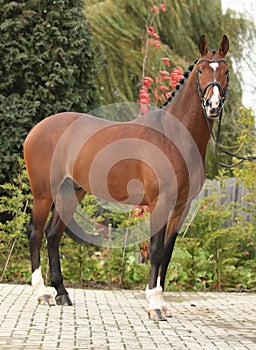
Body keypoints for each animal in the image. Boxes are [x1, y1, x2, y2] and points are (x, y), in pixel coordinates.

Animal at [23, 34, 229, 320]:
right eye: (201, 71)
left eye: (225, 72)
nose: (213, 106)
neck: (173, 136)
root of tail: (39, 128)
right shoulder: (160, 202)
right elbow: (155, 251)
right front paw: (154, 305)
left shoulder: (181, 206)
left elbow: (167, 252)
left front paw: (161, 301)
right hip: (44, 193)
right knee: (36, 233)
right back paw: (43, 293)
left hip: (70, 192)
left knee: (53, 235)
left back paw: (62, 294)